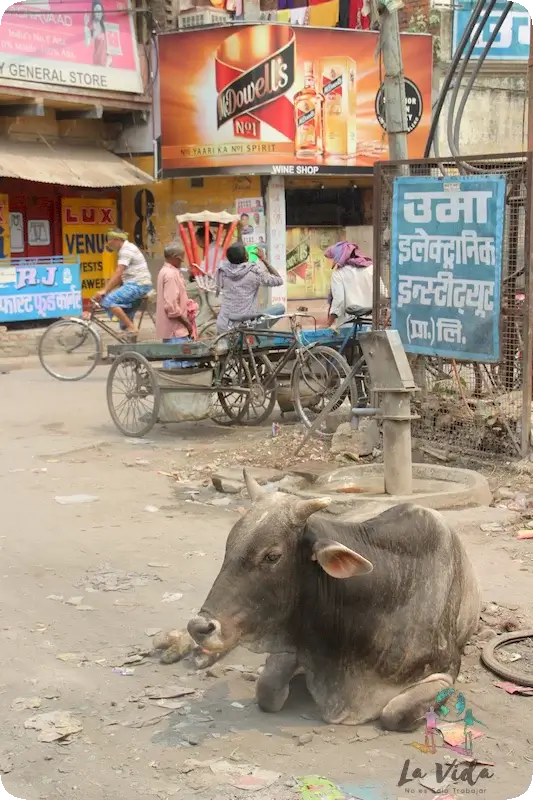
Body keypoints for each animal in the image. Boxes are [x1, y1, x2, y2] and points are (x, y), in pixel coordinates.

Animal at [184, 468, 482, 732]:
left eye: (272, 556)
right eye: (229, 546)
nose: (199, 627)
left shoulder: (445, 670)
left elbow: (395, 714)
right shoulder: (292, 646)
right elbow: (267, 691)